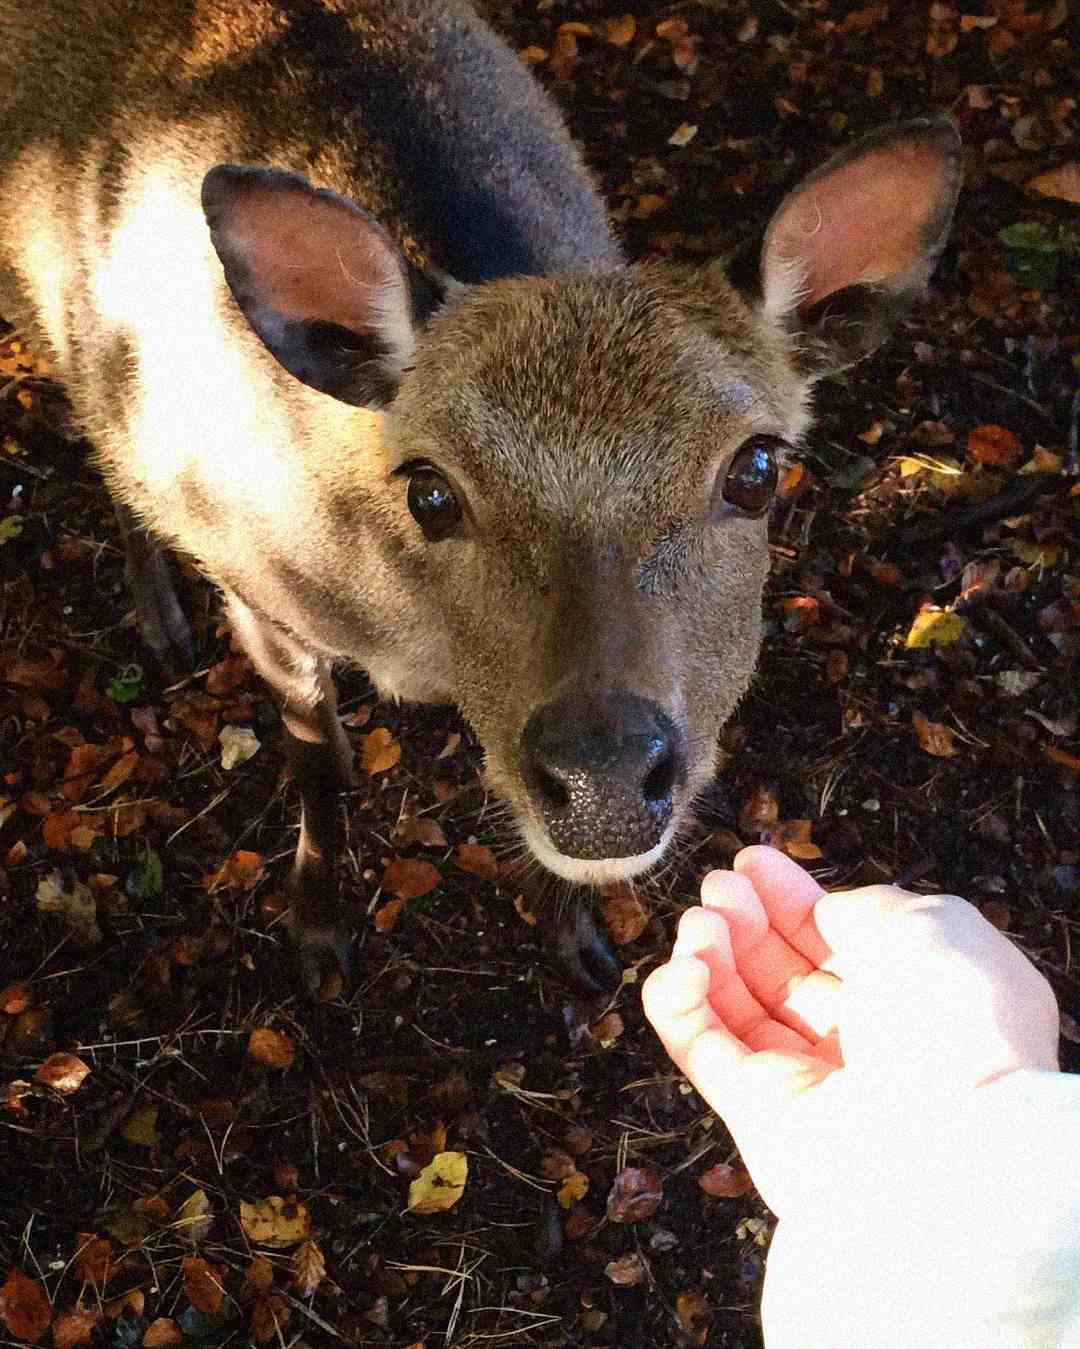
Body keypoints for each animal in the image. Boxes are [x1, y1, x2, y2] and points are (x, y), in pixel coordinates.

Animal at [0, 0, 961, 995]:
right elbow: (312, 761)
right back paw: (161, 624)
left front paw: (578, 943)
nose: (606, 779)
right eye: (431, 490)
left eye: (756, 468)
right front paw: (319, 935)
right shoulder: (256, 588)